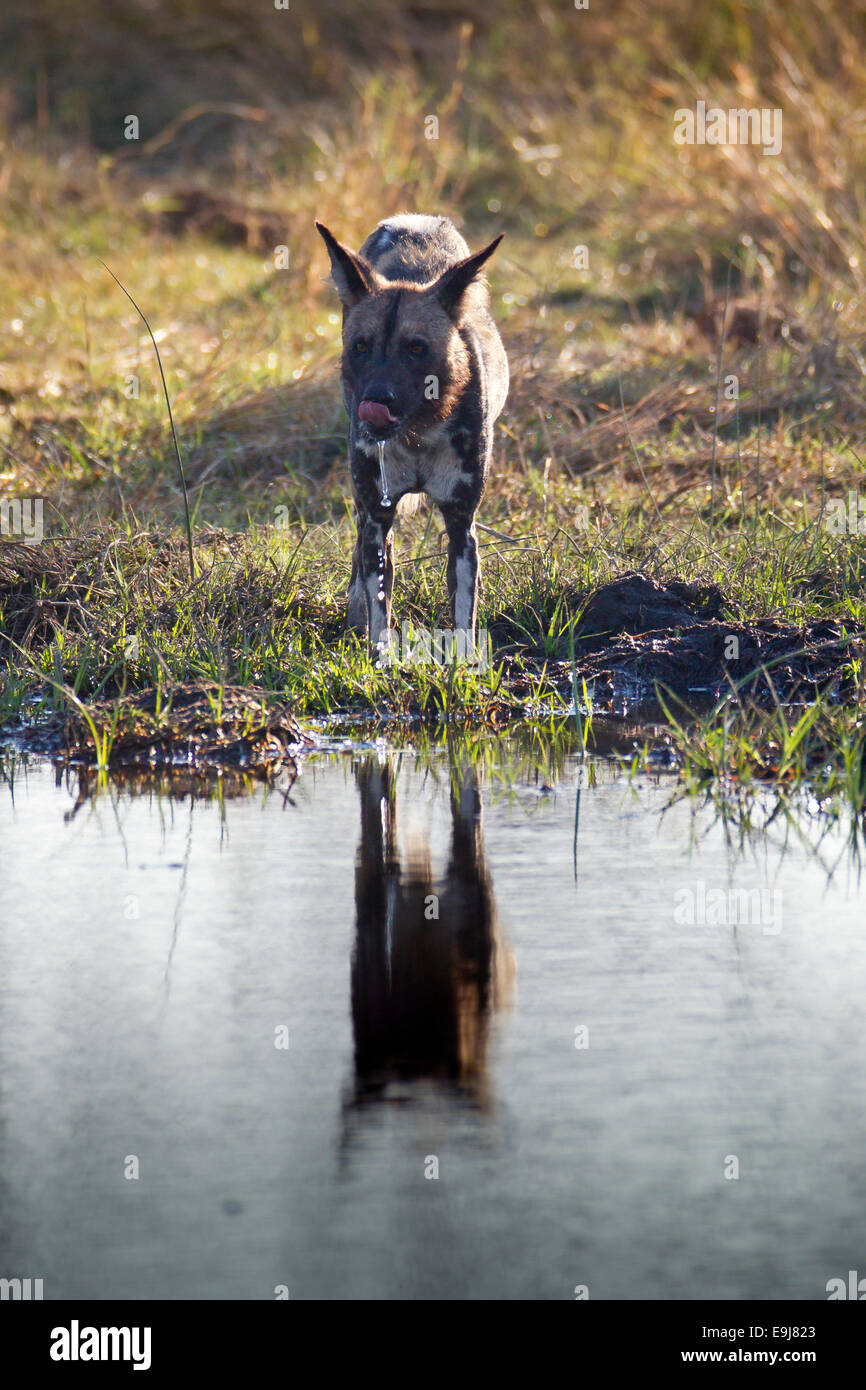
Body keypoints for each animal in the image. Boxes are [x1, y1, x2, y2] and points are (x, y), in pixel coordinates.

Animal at [316, 216, 508, 650]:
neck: (420, 432)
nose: (375, 400)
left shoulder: (461, 526)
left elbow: (463, 619)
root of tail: (413, 220)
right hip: (365, 511)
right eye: (361, 347)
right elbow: (380, 615)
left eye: (416, 348)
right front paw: (377, 655)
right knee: (358, 559)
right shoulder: (378, 518)